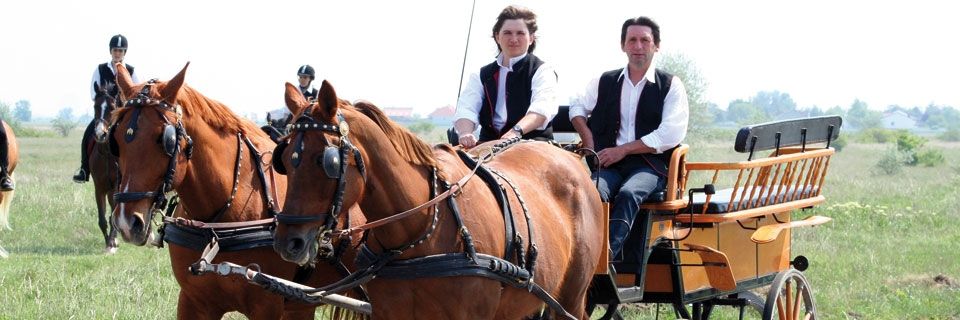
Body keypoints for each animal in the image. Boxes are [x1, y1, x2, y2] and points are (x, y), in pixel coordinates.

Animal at [110, 63, 366, 320]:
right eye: (117, 140)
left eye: (165, 139)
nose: (125, 222)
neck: (218, 228)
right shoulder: (192, 303)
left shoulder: (267, 306)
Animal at [270, 81, 600, 318]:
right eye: (283, 159)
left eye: (326, 161)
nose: (288, 242)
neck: (420, 232)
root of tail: (572, 155)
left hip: (571, 299)